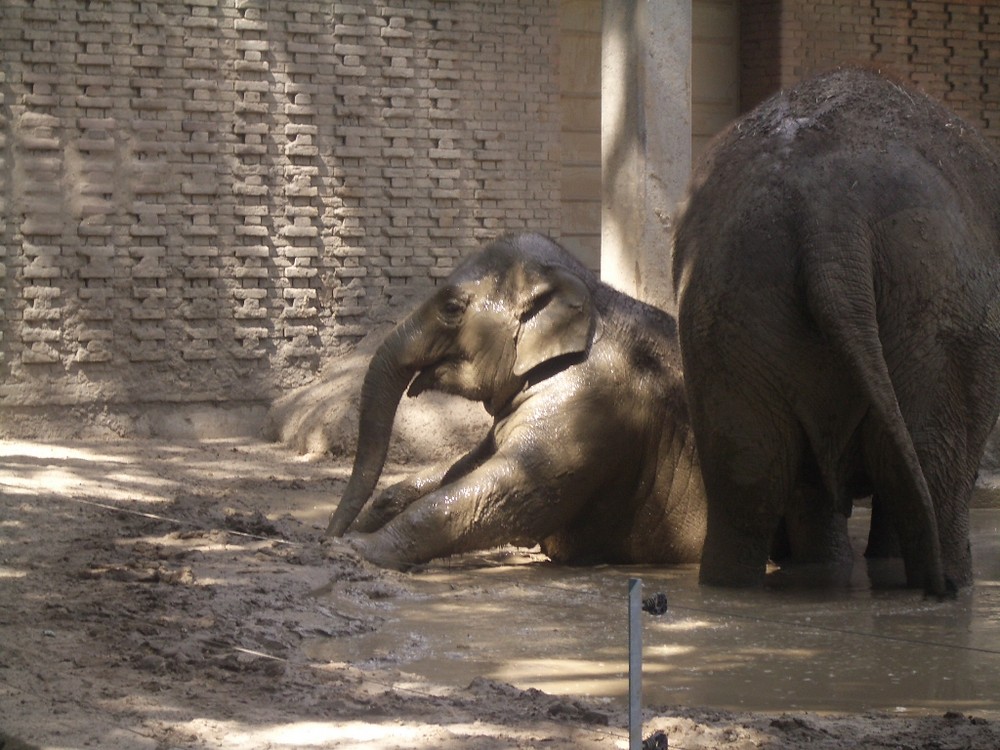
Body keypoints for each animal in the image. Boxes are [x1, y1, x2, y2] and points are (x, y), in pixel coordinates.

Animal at [324, 234, 708, 568]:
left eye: (451, 307)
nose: (328, 534)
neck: (589, 289)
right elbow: (466, 466)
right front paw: (361, 527)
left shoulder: (591, 403)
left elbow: (513, 491)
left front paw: (357, 548)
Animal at [672, 70, 1000, 600]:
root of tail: (829, 214)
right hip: (936, 298)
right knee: (933, 465)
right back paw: (948, 584)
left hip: (730, 298)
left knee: (747, 472)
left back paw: (734, 587)